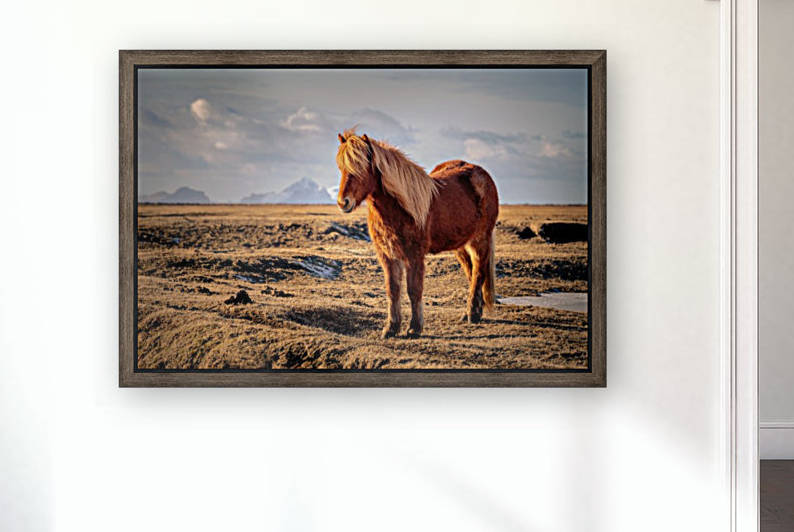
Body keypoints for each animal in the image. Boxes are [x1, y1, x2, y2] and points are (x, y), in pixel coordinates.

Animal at [335, 128, 499, 339]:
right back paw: (472, 312)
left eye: (362, 168)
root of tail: (482, 174)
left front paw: (414, 328)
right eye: (341, 168)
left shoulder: (414, 255)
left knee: (478, 273)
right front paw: (391, 328)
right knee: (472, 272)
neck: (400, 208)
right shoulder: (387, 255)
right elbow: (393, 290)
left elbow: (414, 290)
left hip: (480, 240)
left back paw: (472, 314)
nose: (343, 202)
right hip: (461, 245)